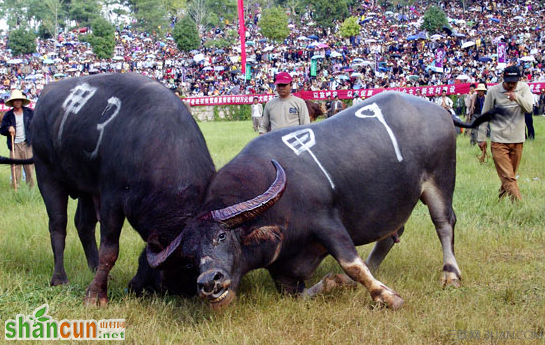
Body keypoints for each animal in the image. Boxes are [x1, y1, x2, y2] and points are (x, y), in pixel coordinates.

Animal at [19, 72, 215, 304]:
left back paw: (94, 268)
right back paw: (59, 278)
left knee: (83, 224)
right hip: (47, 176)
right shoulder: (111, 197)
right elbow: (110, 249)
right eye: (177, 271)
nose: (134, 287)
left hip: (87, 188)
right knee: (58, 225)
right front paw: (95, 295)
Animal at [147, 91, 504, 310]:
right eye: (190, 256)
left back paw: (450, 275)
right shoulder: (284, 269)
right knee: (391, 234)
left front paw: (387, 296)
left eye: (221, 236)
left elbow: (352, 263)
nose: (209, 283)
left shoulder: (328, 223)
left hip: (440, 181)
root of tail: (440, 110)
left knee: (444, 223)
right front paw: (334, 283)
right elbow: (299, 294)